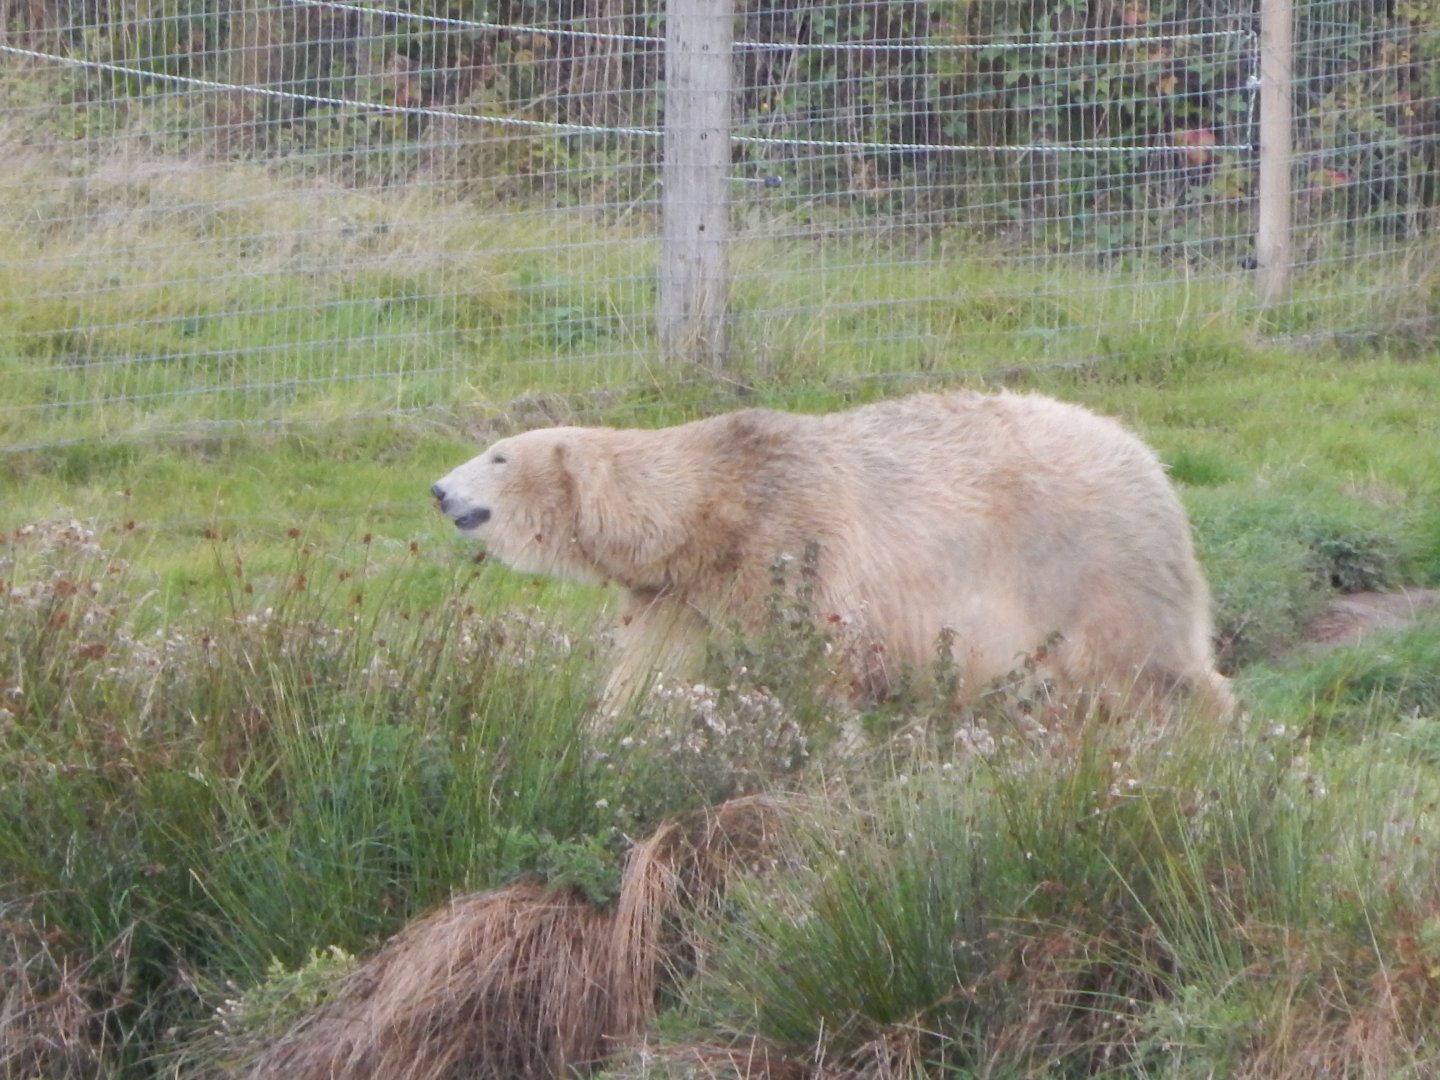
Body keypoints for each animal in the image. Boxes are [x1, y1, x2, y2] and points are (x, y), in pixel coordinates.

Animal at [431, 391, 1235, 720]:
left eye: (497, 455)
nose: (438, 489)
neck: (710, 498)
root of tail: (1150, 463)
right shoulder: (682, 591)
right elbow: (652, 673)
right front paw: (612, 735)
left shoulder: (787, 543)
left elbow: (818, 664)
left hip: (1092, 560)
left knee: (1148, 666)